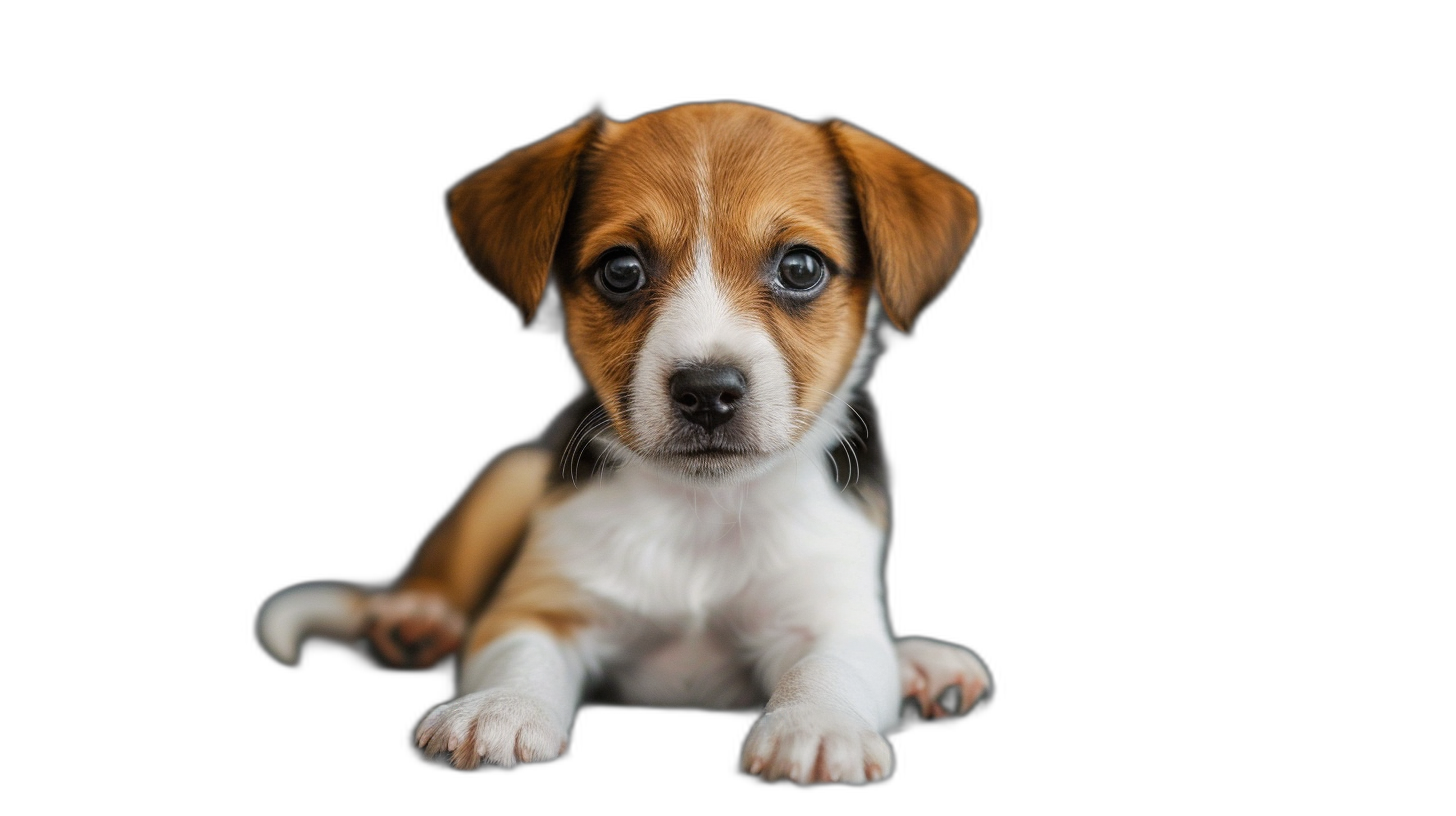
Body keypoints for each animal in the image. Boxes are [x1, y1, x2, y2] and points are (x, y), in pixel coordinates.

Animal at [259, 100, 990, 786]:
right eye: (621, 271)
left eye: (801, 266)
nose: (707, 391)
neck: (700, 512)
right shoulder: (538, 607)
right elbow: (520, 655)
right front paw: (499, 707)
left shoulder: (829, 613)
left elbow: (833, 668)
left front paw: (816, 724)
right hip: (509, 475)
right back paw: (415, 617)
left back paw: (924, 665)